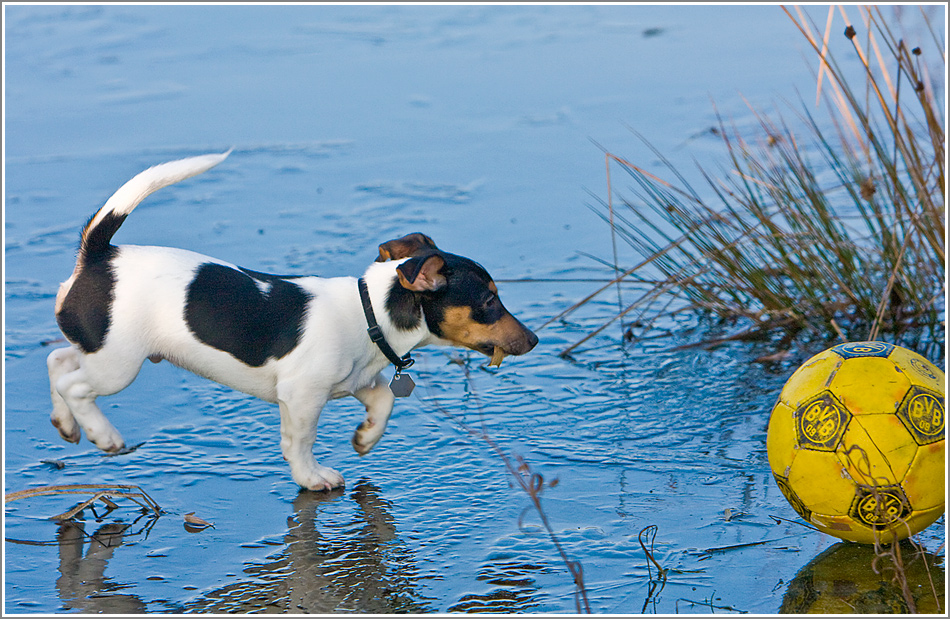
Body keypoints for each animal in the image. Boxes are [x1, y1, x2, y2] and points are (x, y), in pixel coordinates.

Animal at [48, 153, 540, 492]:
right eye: (491, 300)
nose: (535, 339)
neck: (370, 314)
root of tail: (99, 255)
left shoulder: (357, 381)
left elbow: (385, 400)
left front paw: (365, 439)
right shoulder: (302, 396)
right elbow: (299, 442)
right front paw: (312, 477)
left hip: (98, 349)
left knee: (58, 362)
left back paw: (67, 425)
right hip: (118, 364)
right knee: (76, 384)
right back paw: (104, 435)